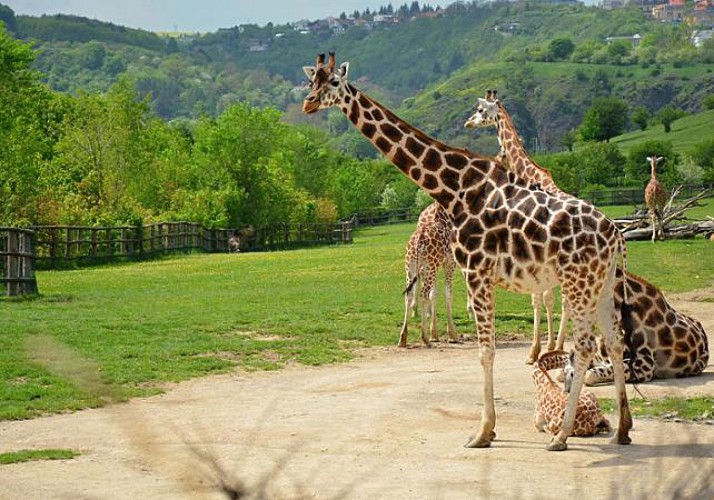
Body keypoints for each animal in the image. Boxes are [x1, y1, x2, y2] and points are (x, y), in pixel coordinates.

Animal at [398, 202, 458, 348]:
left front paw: (435, 334)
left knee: (409, 295)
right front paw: (452, 335)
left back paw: (403, 338)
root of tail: (418, 241)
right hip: (429, 267)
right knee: (423, 294)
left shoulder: (434, 266)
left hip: (411, 267)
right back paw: (424, 338)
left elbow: (434, 294)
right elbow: (448, 294)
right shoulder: (450, 262)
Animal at [462, 91, 708, 386]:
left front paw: (538, 351)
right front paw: (549, 349)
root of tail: (617, 232)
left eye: (479, 110)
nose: (467, 123)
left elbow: (542, 300)